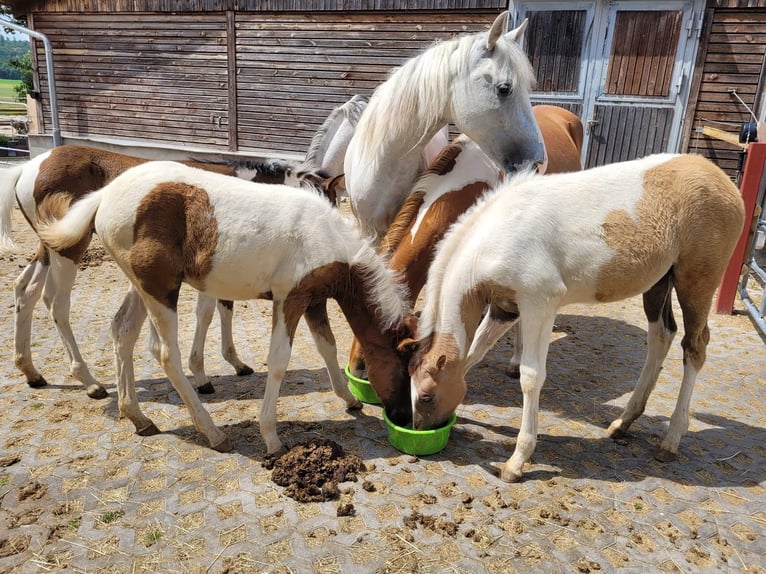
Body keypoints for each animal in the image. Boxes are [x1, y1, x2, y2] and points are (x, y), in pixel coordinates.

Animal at [0, 144, 328, 400]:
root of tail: (29, 166)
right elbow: (207, 314)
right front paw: (202, 376)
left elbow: (225, 308)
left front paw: (235, 362)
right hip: (70, 248)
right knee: (56, 303)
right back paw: (90, 382)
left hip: (50, 243)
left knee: (26, 290)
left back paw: (31, 371)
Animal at [38, 162, 416, 454]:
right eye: (404, 370)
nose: (403, 417)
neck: (328, 236)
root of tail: (105, 195)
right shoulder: (289, 298)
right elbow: (279, 362)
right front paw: (271, 436)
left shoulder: (314, 299)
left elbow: (328, 347)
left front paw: (349, 399)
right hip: (160, 289)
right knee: (165, 354)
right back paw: (213, 433)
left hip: (140, 286)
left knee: (123, 331)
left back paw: (138, 416)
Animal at [404, 153, 748, 482]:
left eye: (426, 398)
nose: (419, 429)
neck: (498, 231)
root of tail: (722, 180)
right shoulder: (506, 307)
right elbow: (474, 355)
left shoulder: (540, 303)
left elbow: (531, 377)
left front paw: (517, 460)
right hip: (659, 281)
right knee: (661, 335)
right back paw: (623, 422)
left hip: (696, 281)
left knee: (695, 347)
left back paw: (672, 438)